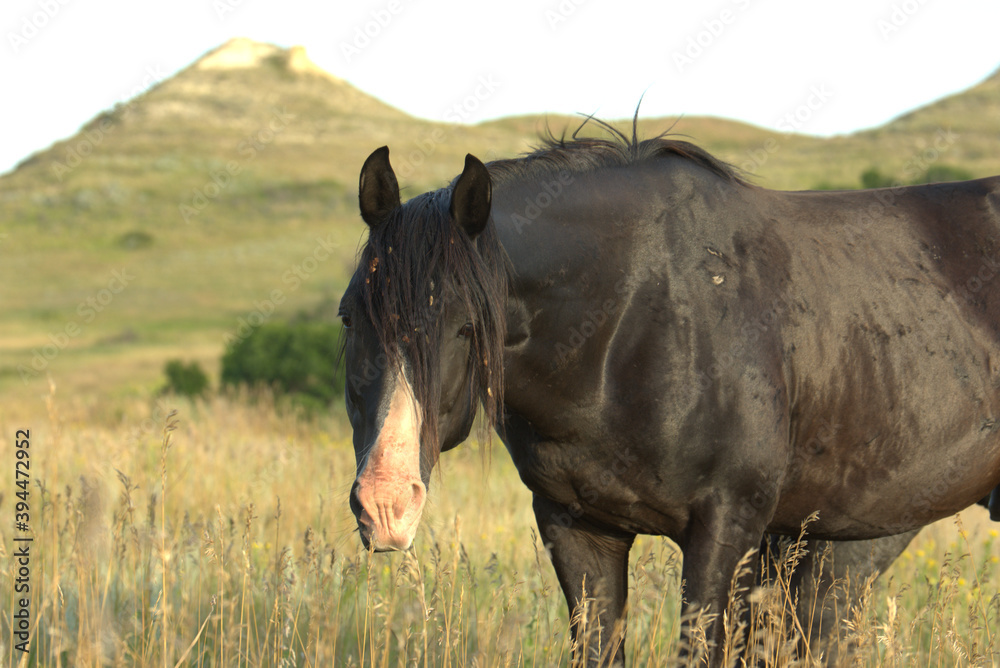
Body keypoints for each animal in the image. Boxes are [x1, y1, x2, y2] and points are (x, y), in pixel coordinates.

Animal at [339, 128, 1000, 665]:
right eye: (349, 318)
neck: (633, 317)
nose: (385, 505)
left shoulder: (725, 532)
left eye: (467, 327)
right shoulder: (578, 529)